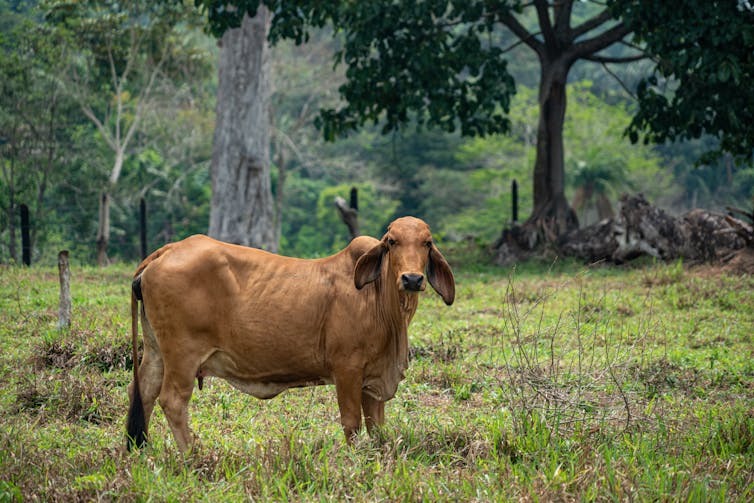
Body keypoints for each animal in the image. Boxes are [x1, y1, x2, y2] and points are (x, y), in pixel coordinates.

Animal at [126, 217, 452, 452]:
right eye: (392, 241)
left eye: (427, 243)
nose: (412, 279)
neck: (378, 299)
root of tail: (167, 251)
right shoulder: (347, 368)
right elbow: (351, 422)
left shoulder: (373, 379)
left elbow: (376, 426)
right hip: (183, 353)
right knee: (172, 400)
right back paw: (194, 455)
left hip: (156, 350)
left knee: (143, 391)